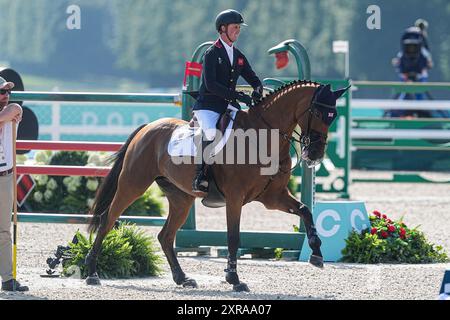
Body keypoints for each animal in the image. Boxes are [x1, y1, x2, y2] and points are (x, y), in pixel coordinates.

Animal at [86, 80, 350, 292]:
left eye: (334, 115)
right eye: (317, 112)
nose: (315, 154)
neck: (264, 136)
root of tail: (148, 128)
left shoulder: (273, 197)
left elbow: (305, 210)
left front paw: (316, 253)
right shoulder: (235, 198)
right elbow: (233, 237)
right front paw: (234, 279)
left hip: (181, 198)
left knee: (165, 236)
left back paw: (183, 278)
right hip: (133, 184)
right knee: (107, 219)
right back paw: (91, 272)